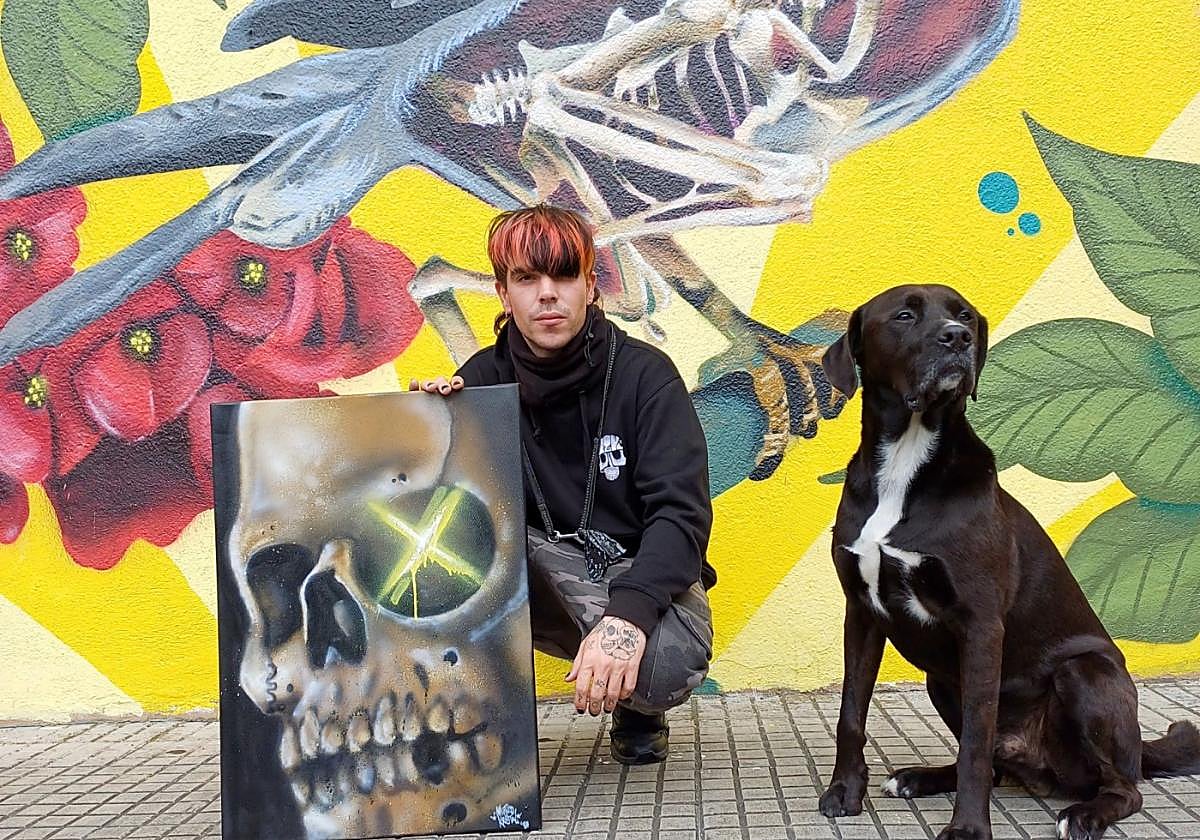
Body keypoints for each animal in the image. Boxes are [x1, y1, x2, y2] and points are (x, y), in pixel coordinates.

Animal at [816, 284, 1200, 840]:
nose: (958, 338)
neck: (906, 463)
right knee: (998, 764)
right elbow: (851, 714)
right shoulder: (862, 613)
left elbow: (976, 743)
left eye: (964, 315)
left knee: (1122, 787)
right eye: (905, 315)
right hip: (941, 679)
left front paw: (968, 829)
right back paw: (921, 777)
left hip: (1084, 673)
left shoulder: (980, 625)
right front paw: (845, 792)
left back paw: (1084, 814)